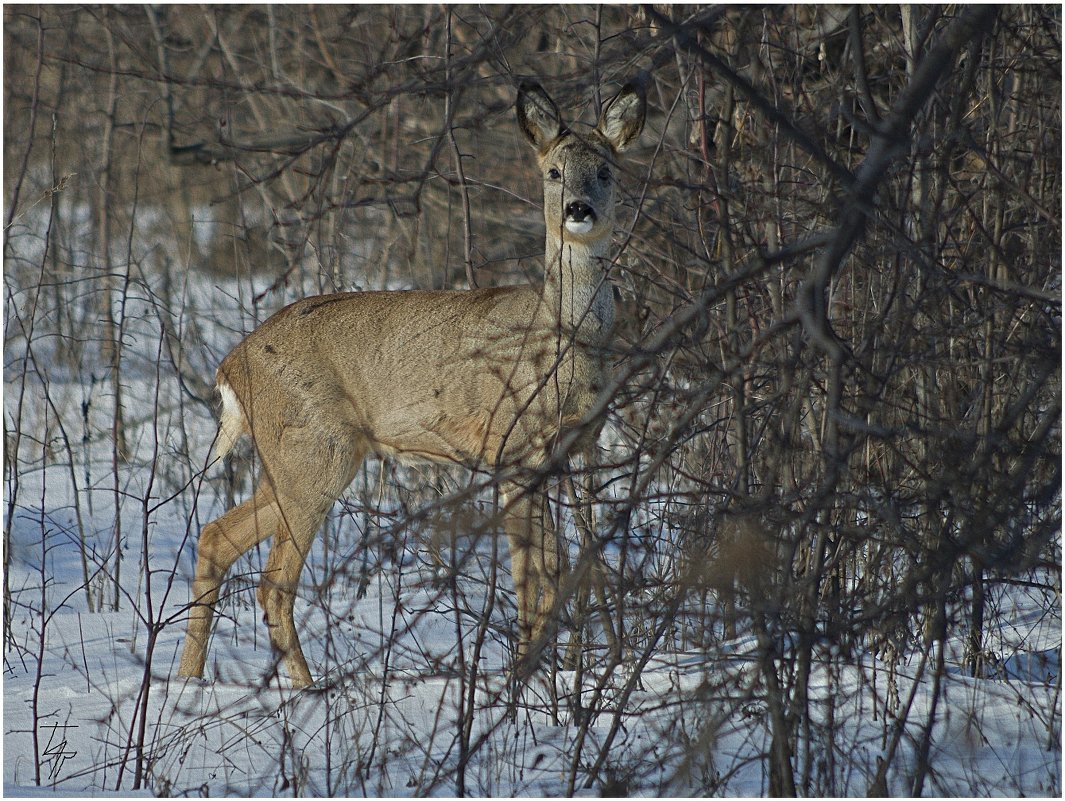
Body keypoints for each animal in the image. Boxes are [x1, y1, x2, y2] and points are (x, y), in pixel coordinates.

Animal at [178, 78, 643, 685]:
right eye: (554, 172)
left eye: (606, 170)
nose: (578, 209)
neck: (561, 339)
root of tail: (230, 365)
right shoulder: (511, 447)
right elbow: (531, 574)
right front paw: (521, 678)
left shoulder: (565, 452)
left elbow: (560, 567)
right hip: (315, 450)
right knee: (274, 580)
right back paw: (306, 690)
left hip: (293, 458)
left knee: (217, 537)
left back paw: (186, 680)